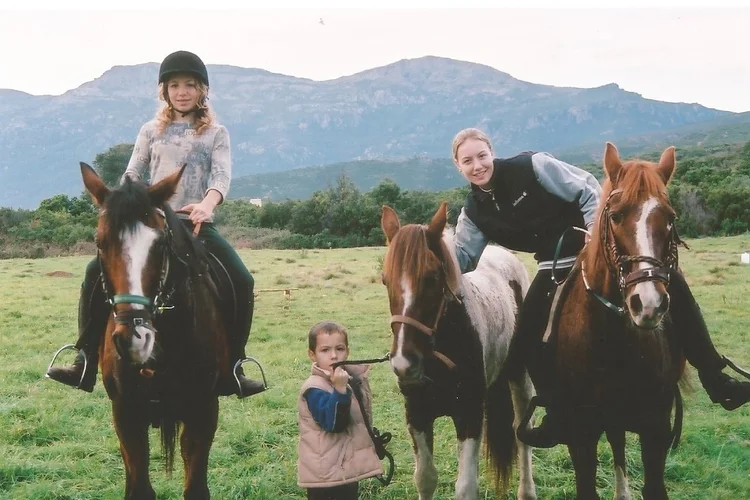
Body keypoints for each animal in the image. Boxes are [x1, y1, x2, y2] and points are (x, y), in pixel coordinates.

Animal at [79, 164, 232, 500]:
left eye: (161, 244)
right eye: (100, 242)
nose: (135, 340)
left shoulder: (204, 410)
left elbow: (196, 488)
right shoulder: (126, 412)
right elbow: (138, 487)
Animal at [384, 202, 536, 500]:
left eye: (433, 278)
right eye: (385, 281)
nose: (404, 364)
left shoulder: (469, 414)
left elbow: (466, 487)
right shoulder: (417, 414)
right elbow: (425, 478)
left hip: (521, 377)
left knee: (521, 432)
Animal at [548, 144, 692, 500]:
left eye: (670, 218)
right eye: (615, 216)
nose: (649, 304)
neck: (610, 343)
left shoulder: (656, 429)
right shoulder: (581, 433)